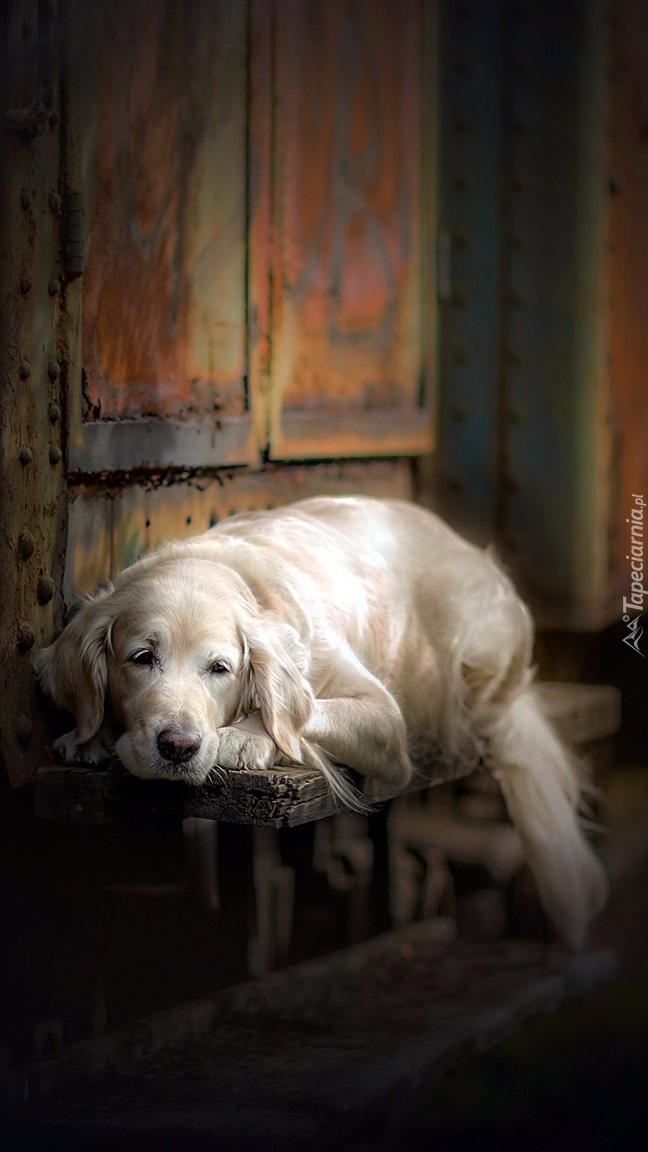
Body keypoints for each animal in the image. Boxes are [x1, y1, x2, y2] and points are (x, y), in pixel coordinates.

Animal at [35, 499, 604, 949]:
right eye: (141, 658)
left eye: (220, 668)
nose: (178, 746)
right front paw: (88, 736)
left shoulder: (386, 722)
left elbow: (304, 711)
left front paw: (245, 737)